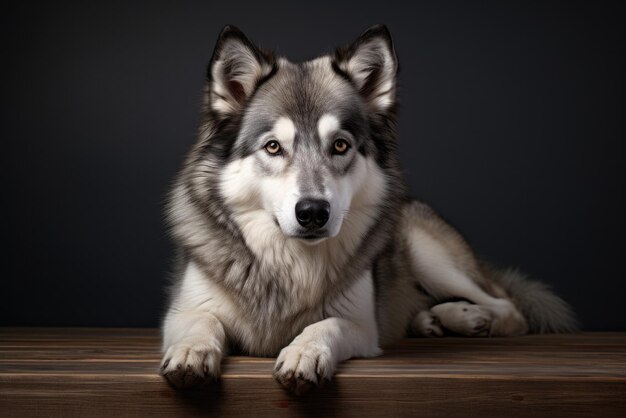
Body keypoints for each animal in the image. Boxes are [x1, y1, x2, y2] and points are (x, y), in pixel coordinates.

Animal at [157, 24, 576, 394]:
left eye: (340, 145)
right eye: (273, 146)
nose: (313, 212)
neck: (290, 263)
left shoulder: (360, 325)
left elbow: (325, 325)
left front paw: (304, 354)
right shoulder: (182, 312)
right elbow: (201, 323)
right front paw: (192, 353)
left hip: (431, 256)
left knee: (508, 307)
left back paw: (471, 317)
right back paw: (432, 320)